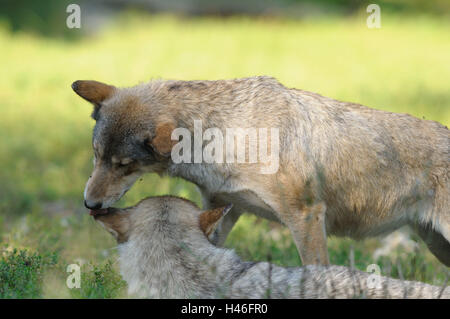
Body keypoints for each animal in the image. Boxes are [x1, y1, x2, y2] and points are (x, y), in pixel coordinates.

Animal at [72, 76, 448, 266]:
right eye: (96, 156)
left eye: (124, 166)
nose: (90, 204)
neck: (228, 135)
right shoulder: (220, 210)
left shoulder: (306, 216)